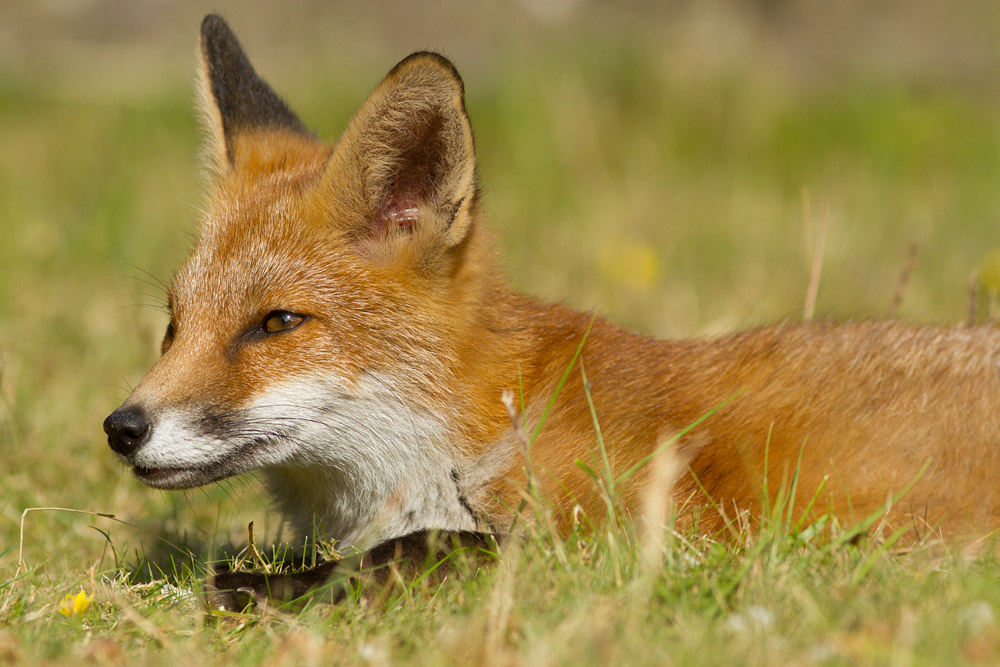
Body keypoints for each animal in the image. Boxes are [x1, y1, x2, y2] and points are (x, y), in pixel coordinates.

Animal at [105, 15, 1000, 610]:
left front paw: (254, 586)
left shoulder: (656, 541)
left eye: (278, 323)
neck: (483, 424)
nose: (122, 427)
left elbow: (424, 545)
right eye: (173, 323)